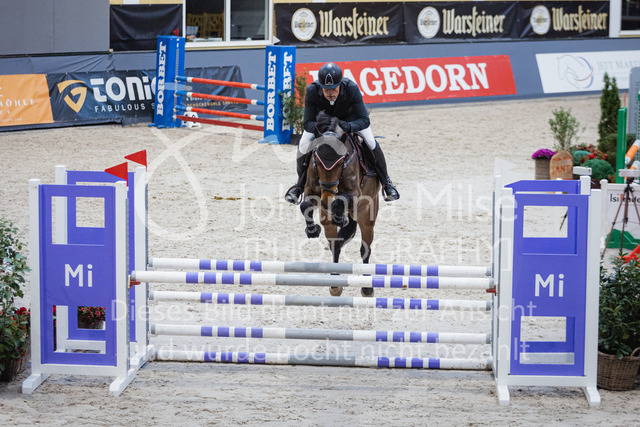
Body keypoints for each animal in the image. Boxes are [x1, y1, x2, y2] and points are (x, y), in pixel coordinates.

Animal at [299, 114, 381, 297]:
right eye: (317, 161)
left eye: (341, 161)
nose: (325, 199)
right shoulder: (311, 190)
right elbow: (305, 205)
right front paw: (312, 230)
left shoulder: (355, 193)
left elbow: (338, 201)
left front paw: (339, 217)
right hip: (326, 220)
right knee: (335, 246)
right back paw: (335, 284)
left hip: (366, 215)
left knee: (365, 249)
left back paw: (367, 287)